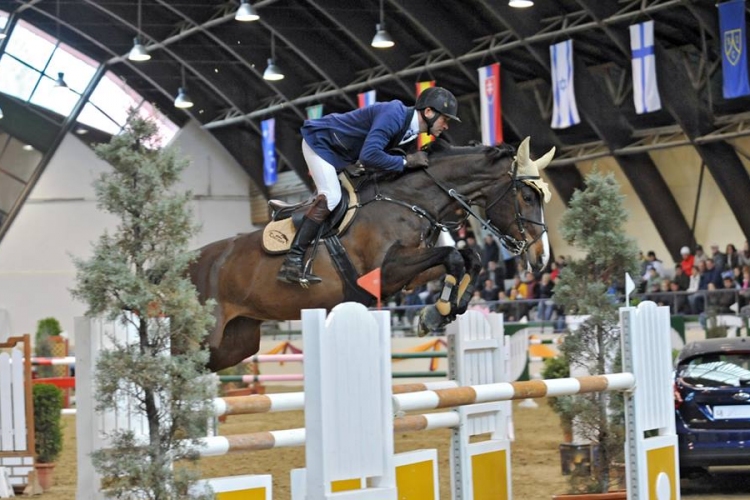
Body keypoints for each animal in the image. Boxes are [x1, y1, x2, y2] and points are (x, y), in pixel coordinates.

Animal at [192, 137, 560, 372]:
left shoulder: (409, 275)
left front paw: (441, 311)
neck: (408, 199)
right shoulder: (386, 270)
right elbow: (455, 257)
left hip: (235, 343)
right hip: (209, 338)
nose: (542, 259)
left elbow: (469, 259)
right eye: (528, 196)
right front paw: (438, 311)